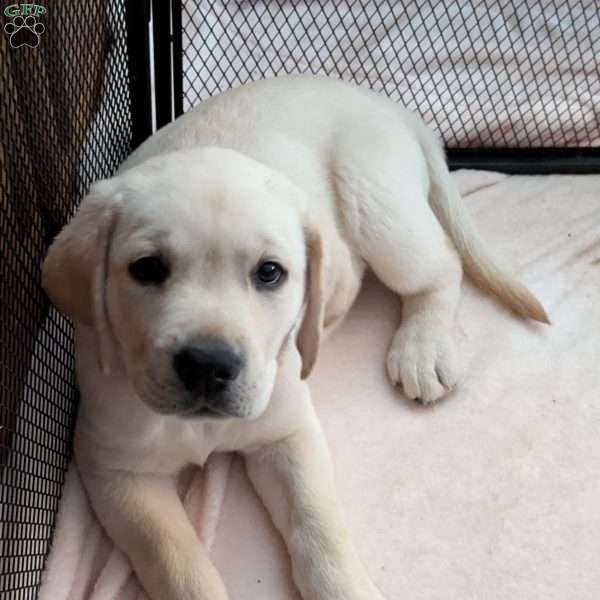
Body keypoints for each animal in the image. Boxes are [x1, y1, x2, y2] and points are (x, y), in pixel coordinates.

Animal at [43, 75, 548, 600]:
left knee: (443, 264)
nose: (207, 364)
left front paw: (346, 587)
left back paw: (422, 349)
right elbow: (175, 559)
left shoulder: (287, 430)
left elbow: (318, 524)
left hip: (377, 208)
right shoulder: (117, 468)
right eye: (146, 269)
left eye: (270, 272)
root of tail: (383, 101)